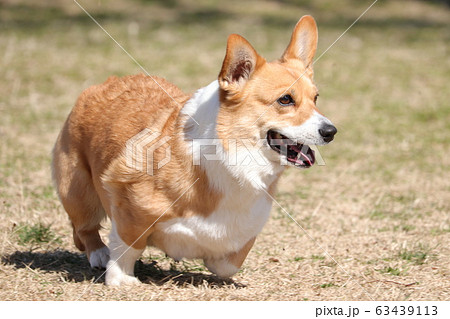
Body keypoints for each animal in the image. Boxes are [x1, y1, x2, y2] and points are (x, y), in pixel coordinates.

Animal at [52, 15, 336, 286]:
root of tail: (102, 85)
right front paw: (121, 278)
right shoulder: (124, 195)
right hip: (78, 191)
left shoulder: (243, 229)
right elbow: (128, 244)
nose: (331, 131)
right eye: (285, 99)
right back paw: (99, 254)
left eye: (316, 98)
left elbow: (228, 263)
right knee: (85, 227)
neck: (231, 155)